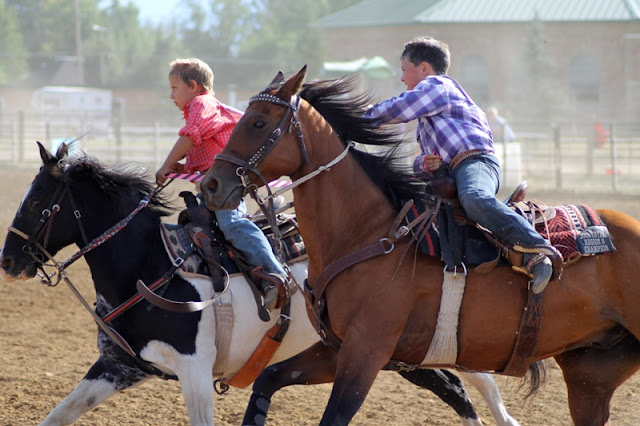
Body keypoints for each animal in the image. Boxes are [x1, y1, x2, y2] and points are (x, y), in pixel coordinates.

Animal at [0, 144, 516, 426]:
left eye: (40, 201)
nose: (8, 260)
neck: (152, 268)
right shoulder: (119, 366)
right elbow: (59, 414)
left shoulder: (194, 370)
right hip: (396, 357)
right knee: (454, 388)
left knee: (470, 382)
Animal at [202, 65, 640, 424]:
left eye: (258, 122)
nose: (211, 185)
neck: (367, 232)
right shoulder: (336, 348)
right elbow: (267, 380)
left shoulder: (366, 351)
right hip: (590, 375)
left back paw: (542, 263)